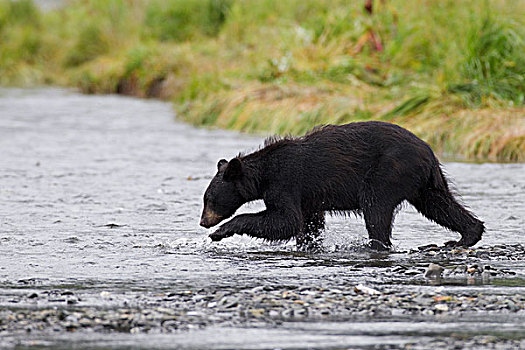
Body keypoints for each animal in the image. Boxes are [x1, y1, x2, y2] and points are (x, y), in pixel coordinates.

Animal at [200, 121, 484, 250]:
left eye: (209, 199)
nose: (204, 222)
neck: (264, 173)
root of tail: (428, 151)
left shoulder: (286, 183)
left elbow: (285, 220)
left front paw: (222, 231)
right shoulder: (309, 197)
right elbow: (308, 222)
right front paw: (308, 244)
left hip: (387, 173)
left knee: (376, 209)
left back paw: (375, 243)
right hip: (423, 183)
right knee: (440, 204)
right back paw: (466, 236)